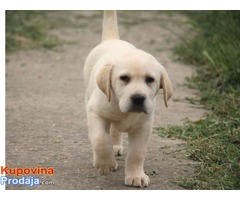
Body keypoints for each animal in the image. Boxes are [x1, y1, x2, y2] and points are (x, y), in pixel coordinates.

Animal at [83, 10, 172, 188]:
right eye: (124, 78)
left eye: (150, 80)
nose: (138, 98)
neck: (119, 105)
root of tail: (112, 40)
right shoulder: (95, 112)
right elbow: (100, 139)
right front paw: (105, 164)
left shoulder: (143, 126)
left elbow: (137, 153)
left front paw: (136, 176)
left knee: (114, 131)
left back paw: (115, 146)